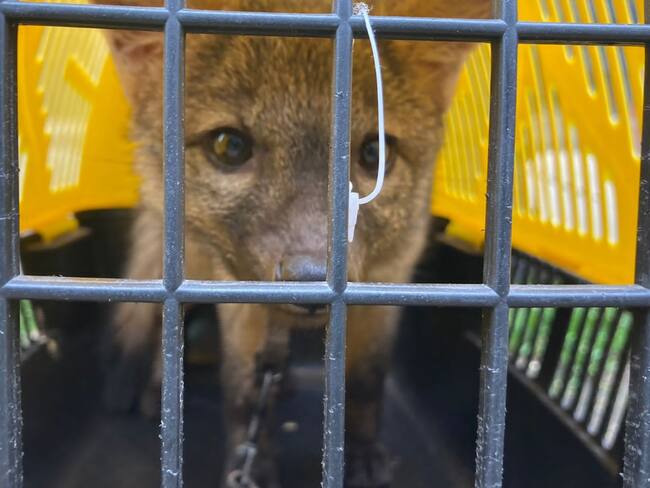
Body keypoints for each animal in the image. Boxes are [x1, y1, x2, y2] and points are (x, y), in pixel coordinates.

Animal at [98, 0, 490, 486]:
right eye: (229, 146)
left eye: (374, 153)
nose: (311, 280)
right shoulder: (236, 295)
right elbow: (242, 390)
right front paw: (251, 465)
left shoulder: (388, 280)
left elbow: (366, 382)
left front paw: (362, 454)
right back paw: (140, 383)